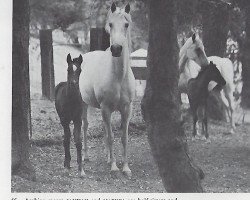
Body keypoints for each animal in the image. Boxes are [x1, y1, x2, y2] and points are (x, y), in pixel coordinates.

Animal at [79, 3, 135, 177]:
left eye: (126, 24)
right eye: (110, 24)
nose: (116, 49)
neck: (118, 77)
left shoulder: (126, 109)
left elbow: (123, 137)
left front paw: (125, 168)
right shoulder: (106, 108)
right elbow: (111, 137)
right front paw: (114, 167)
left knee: (104, 128)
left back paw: (109, 157)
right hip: (84, 104)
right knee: (85, 126)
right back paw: (86, 156)